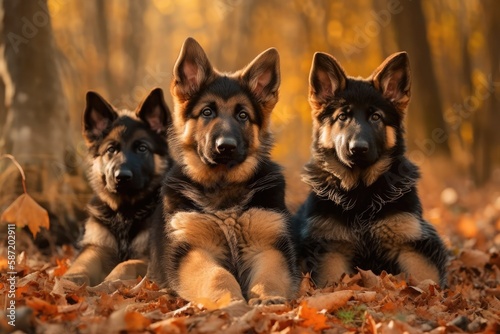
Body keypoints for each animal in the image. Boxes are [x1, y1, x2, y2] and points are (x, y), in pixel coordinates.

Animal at [63, 87, 172, 286]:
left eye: (142, 148)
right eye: (111, 150)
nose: (122, 177)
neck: (125, 214)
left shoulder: (148, 257)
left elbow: (126, 264)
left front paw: (110, 282)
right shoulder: (96, 248)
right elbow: (81, 263)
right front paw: (70, 279)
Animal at [147, 37, 296, 306]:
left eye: (243, 115)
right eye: (207, 112)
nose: (225, 146)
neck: (223, 185)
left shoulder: (267, 247)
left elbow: (269, 274)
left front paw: (269, 297)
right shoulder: (195, 249)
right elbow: (217, 274)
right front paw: (227, 299)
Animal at [292, 51, 448, 288]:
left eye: (376, 117)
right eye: (342, 117)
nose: (357, 149)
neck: (361, 191)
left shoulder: (410, 244)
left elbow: (424, 278)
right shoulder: (331, 248)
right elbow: (332, 281)